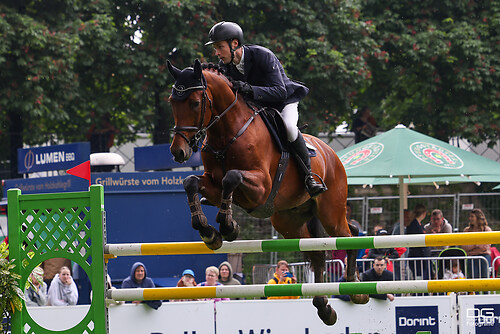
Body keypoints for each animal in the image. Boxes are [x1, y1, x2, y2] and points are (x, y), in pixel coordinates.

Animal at [167, 58, 368, 324]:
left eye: (195, 103)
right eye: (172, 102)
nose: (178, 152)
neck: (228, 133)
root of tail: (331, 154)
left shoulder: (261, 187)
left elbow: (232, 177)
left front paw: (228, 226)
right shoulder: (213, 185)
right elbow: (190, 182)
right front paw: (208, 231)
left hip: (330, 212)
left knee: (349, 235)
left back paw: (357, 292)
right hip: (288, 222)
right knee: (317, 253)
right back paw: (324, 307)